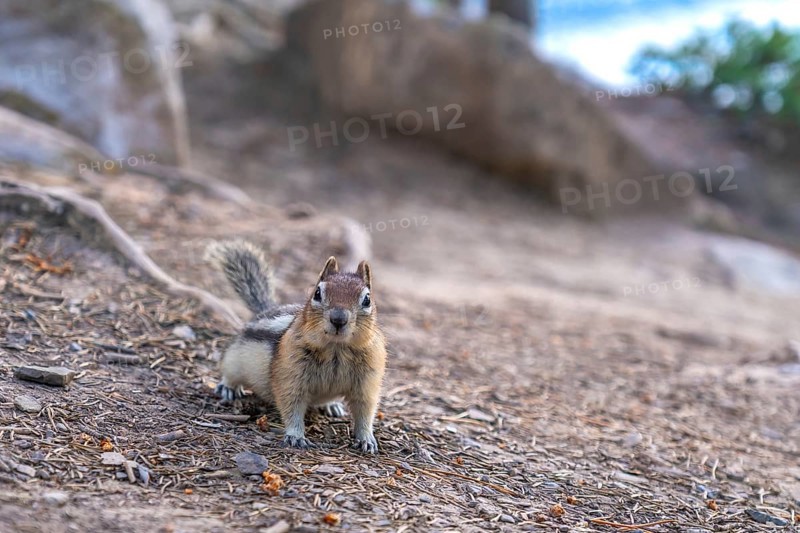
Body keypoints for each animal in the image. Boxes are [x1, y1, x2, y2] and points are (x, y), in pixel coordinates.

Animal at [205, 240, 387, 453]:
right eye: (317, 293)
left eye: (367, 299)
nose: (338, 318)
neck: (336, 348)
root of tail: (265, 311)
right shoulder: (290, 376)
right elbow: (292, 406)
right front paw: (296, 436)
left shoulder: (367, 381)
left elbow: (365, 411)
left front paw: (366, 439)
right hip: (234, 359)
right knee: (229, 372)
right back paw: (227, 388)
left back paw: (332, 405)